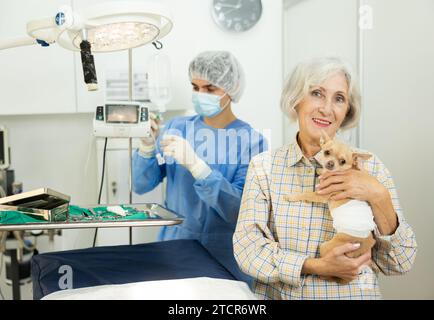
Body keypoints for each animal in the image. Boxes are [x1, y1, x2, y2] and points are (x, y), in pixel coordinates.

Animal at [284, 131, 376, 284]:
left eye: (343, 161)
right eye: (327, 152)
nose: (330, 164)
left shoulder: (321, 195)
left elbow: (306, 193)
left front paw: (292, 197)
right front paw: (321, 171)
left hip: (326, 246)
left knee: (330, 273)